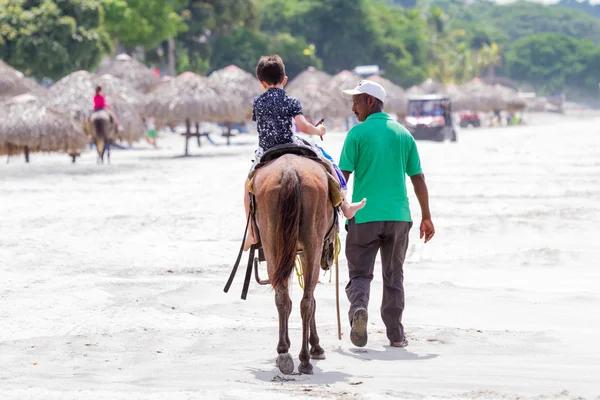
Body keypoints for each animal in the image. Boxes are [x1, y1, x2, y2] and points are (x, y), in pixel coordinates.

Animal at [251, 153, 338, 376]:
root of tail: (290, 172)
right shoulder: (309, 253)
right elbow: (312, 299)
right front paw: (316, 346)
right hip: (312, 243)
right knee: (306, 301)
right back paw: (304, 359)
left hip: (272, 243)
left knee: (283, 298)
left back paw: (284, 353)